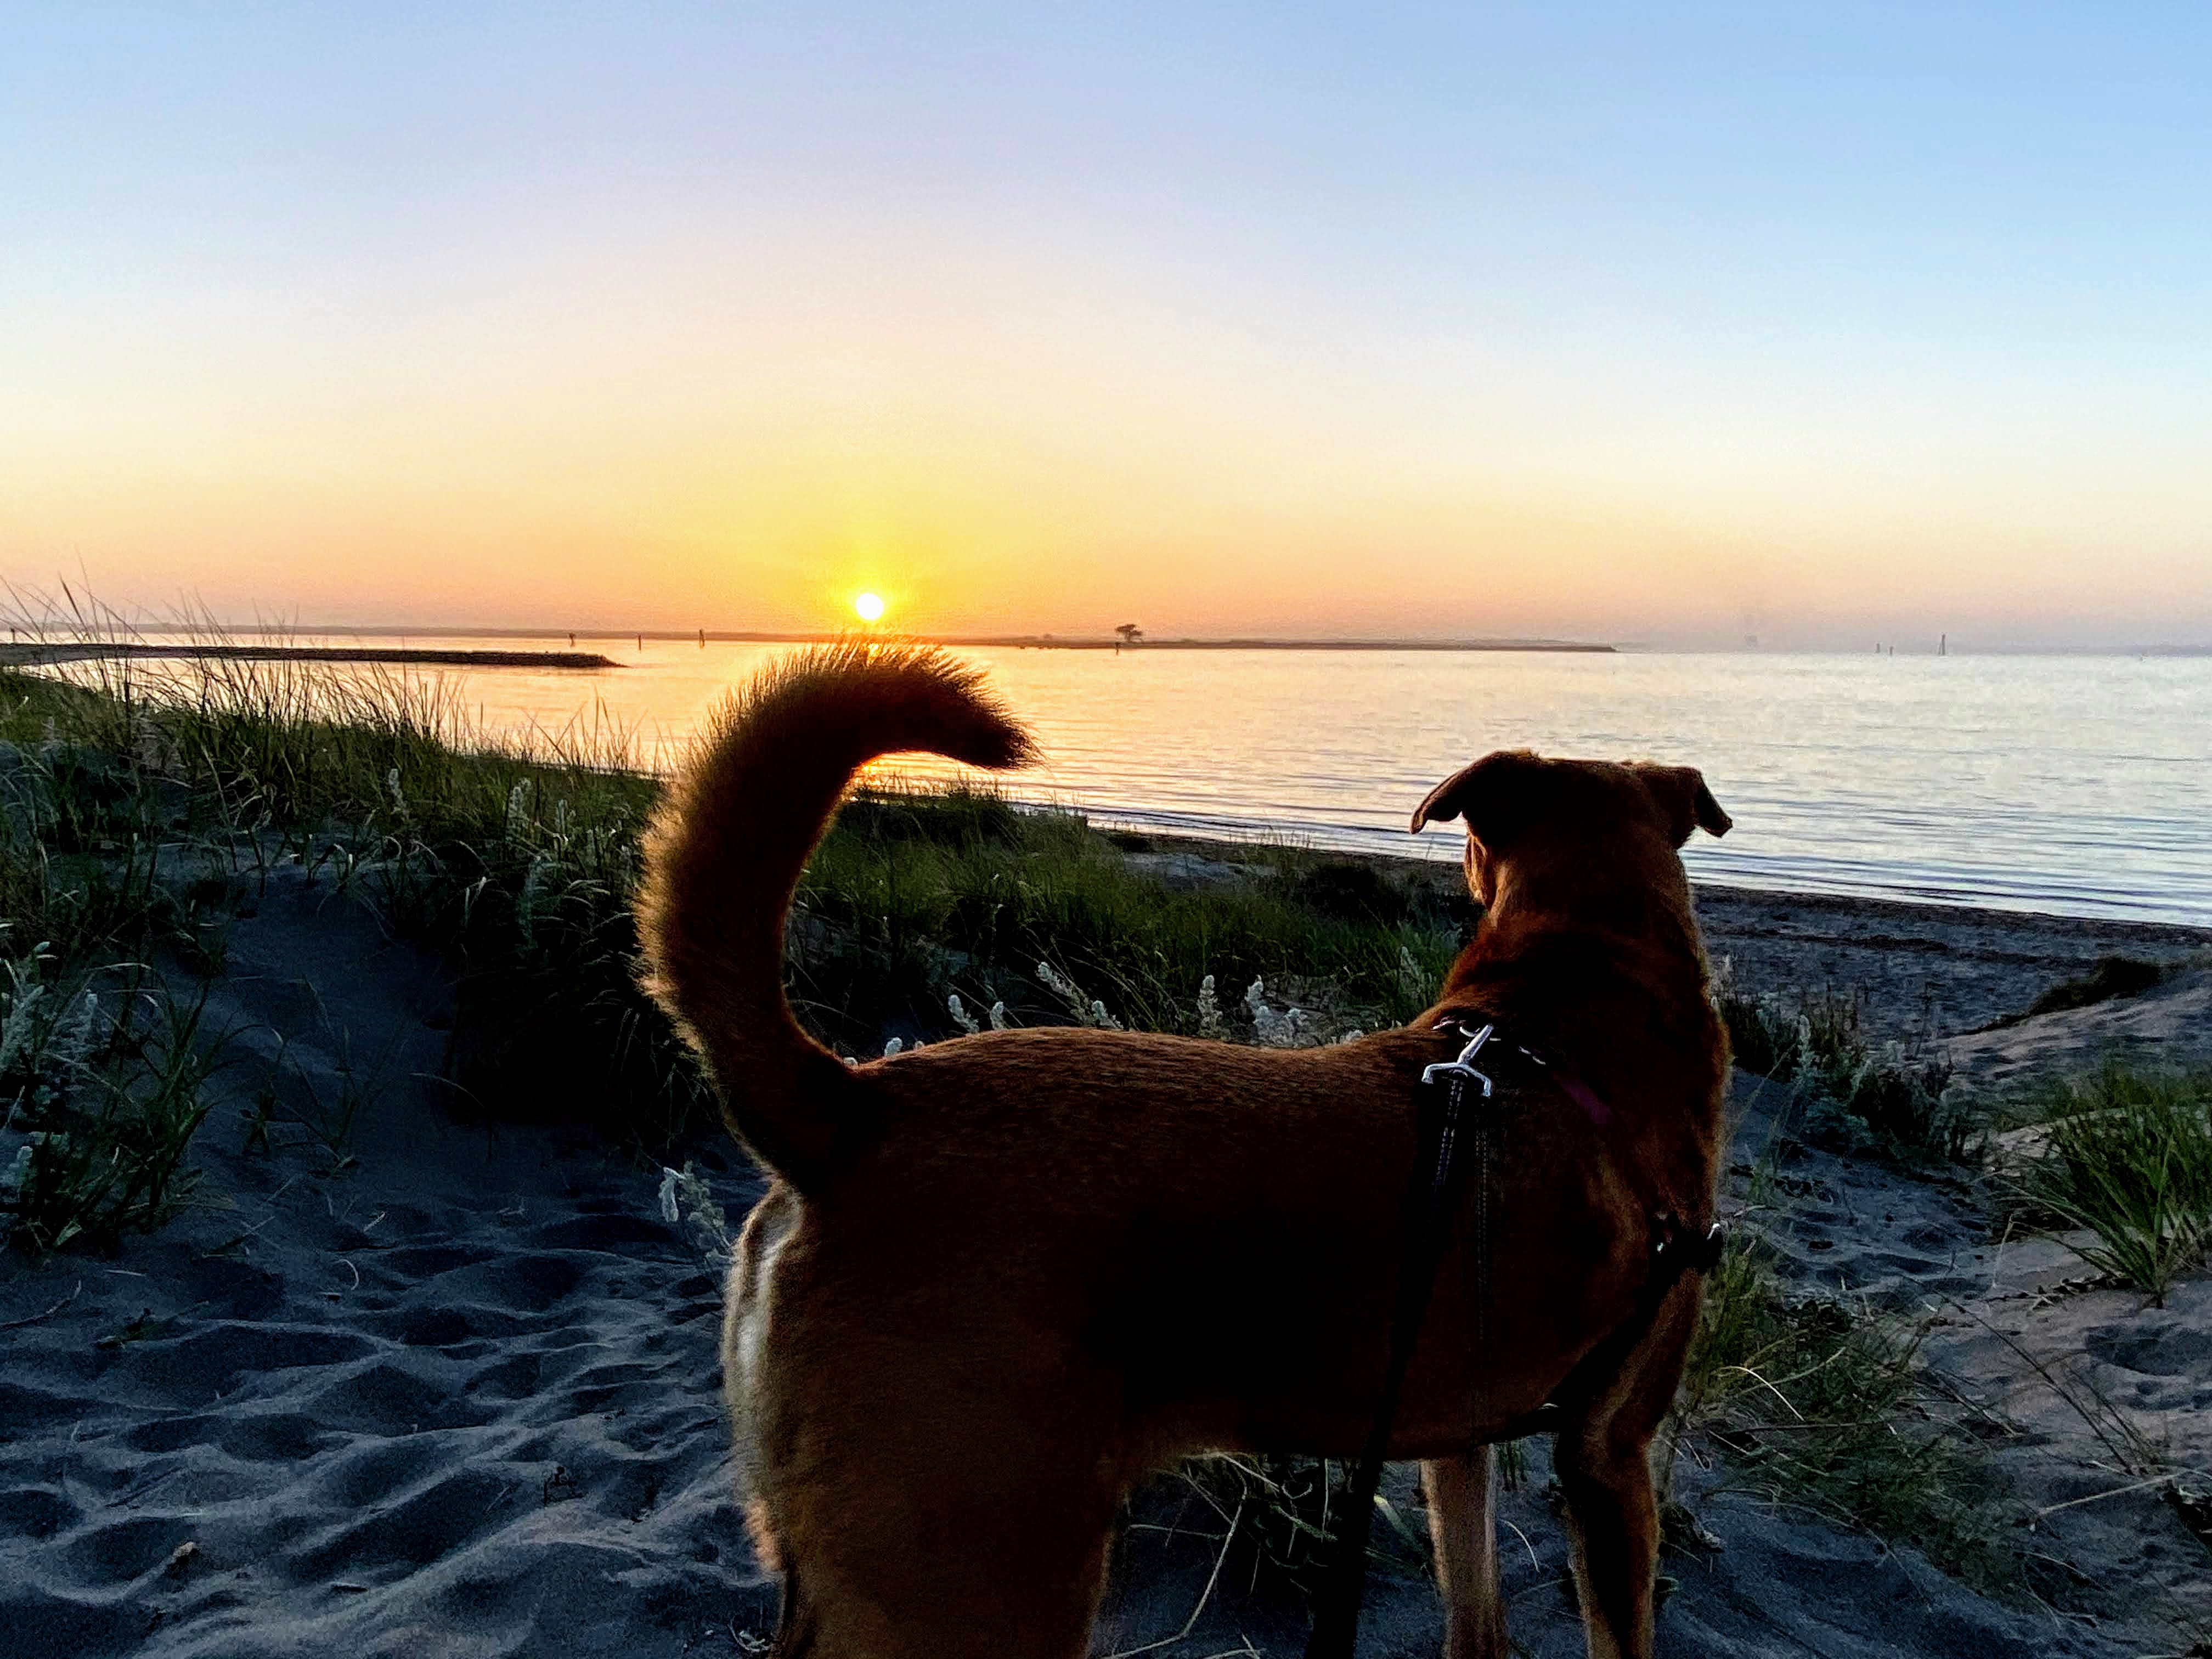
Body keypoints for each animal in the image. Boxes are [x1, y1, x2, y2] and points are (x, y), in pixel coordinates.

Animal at [637, 646, 1725, 1659]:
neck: (1560, 998)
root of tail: (850, 1103)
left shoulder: (1457, 1436)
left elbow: (1476, 1613)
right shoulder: (1609, 1455)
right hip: (979, 1569)